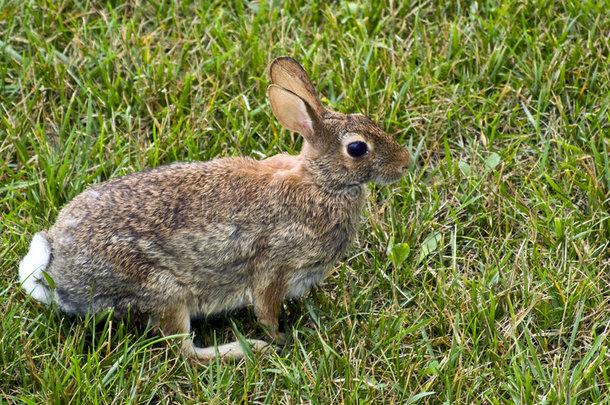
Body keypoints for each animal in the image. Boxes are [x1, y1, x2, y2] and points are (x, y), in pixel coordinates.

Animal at [19, 55, 408, 362]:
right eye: (357, 149)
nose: (404, 163)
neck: (321, 182)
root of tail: (59, 276)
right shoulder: (275, 267)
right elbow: (266, 310)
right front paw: (280, 340)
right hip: (164, 290)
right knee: (183, 352)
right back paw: (243, 350)